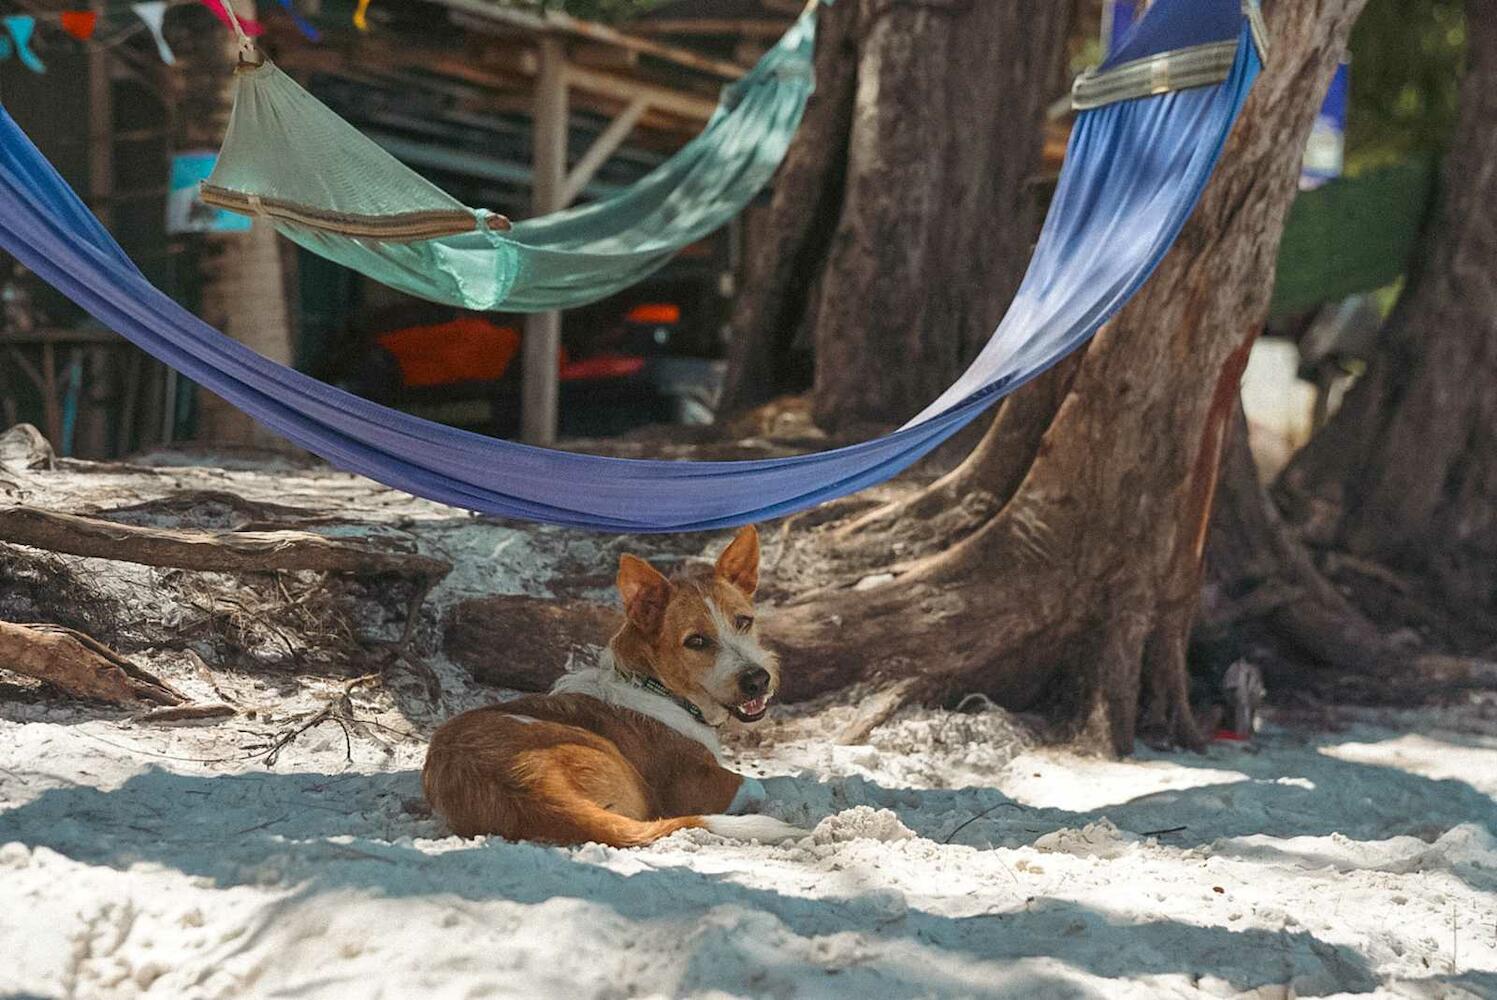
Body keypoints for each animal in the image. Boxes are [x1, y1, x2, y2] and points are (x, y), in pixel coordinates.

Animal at [422, 526, 802, 850]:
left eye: (744, 621)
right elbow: (764, 783)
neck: (656, 686)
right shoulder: (694, 787)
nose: (757, 680)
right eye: (696, 641)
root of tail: (535, 789)